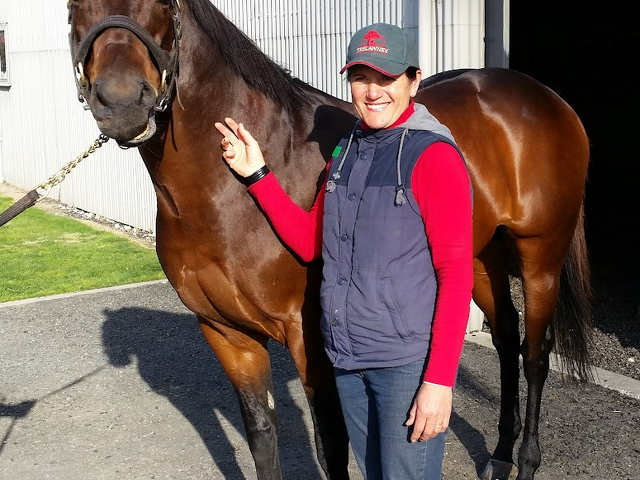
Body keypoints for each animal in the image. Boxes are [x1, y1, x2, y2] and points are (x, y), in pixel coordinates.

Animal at [67, 1, 593, 479]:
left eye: (162, 6)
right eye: (74, 6)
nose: (120, 103)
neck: (227, 194)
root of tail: (545, 98)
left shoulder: (311, 336)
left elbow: (331, 444)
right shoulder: (225, 332)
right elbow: (261, 434)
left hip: (540, 256)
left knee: (534, 354)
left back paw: (525, 462)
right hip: (481, 256)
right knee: (504, 336)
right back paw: (500, 455)